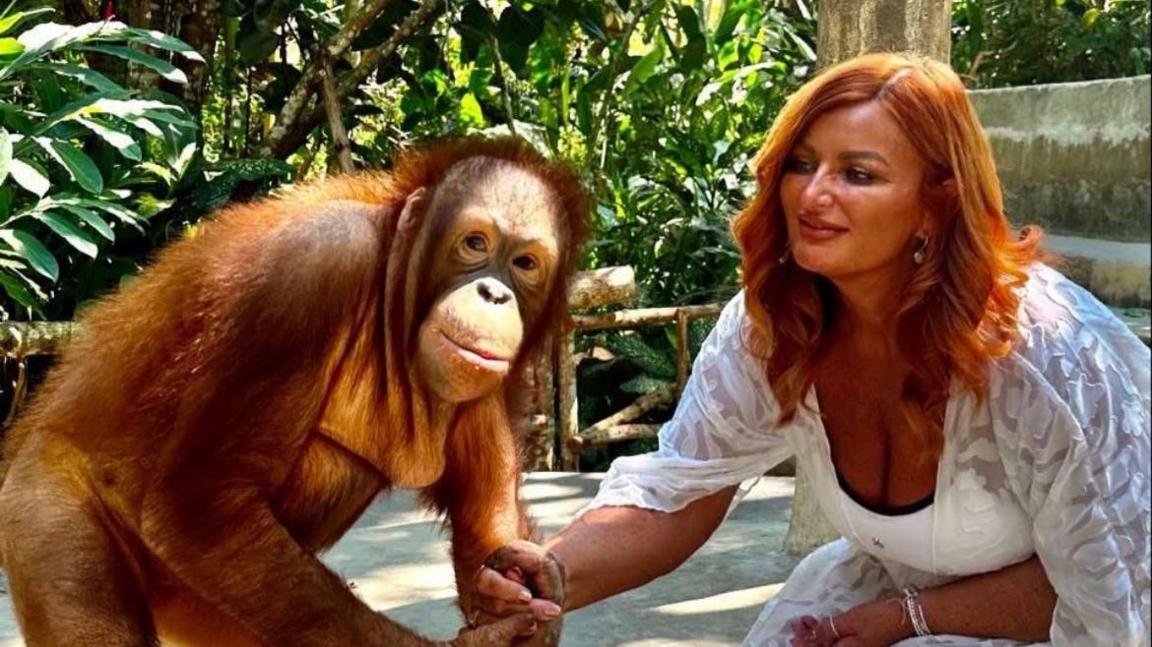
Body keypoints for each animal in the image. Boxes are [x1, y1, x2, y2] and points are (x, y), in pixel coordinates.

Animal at [0, 136, 588, 647]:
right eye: (474, 243)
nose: (493, 294)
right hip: (43, 503)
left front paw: (528, 586)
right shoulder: (309, 273)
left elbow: (482, 525)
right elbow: (197, 506)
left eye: (525, 263)